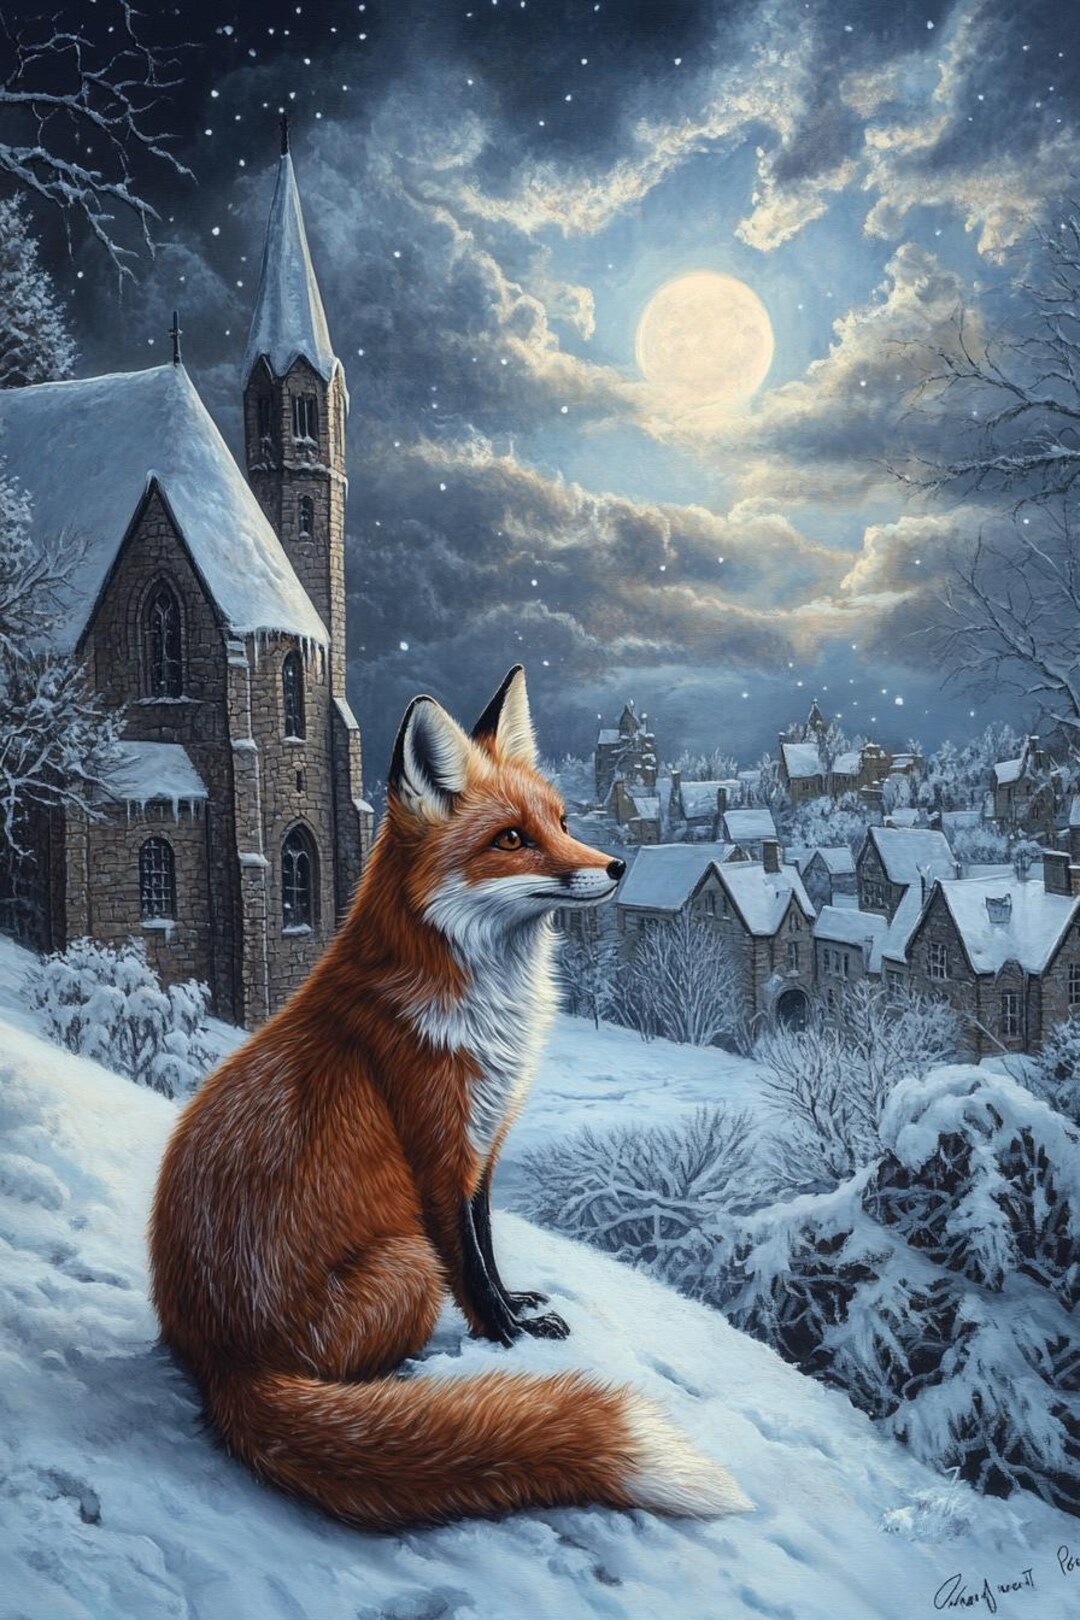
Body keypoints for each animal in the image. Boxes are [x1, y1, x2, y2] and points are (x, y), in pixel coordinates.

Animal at [149, 665, 750, 1531]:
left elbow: (490, 1249)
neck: (484, 1013)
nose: (616, 868)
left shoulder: (484, 1148)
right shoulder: (437, 1154)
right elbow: (468, 1266)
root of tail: (222, 1365)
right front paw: (510, 1341)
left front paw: (520, 1307)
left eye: (563, 820)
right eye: (512, 839)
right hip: (406, 1263)